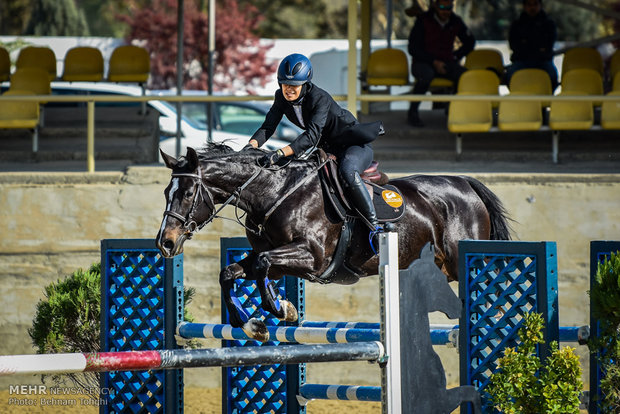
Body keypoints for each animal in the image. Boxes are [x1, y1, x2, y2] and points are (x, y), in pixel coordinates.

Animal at [155, 144, 508, 342]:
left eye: (188, 193)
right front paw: (252, 324)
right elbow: (231, 272)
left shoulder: (312, 257)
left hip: (461, 260)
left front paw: (281, 309)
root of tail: (465, 183)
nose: (166, 244)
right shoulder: (275, 259)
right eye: (166, 192)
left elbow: (263, 266)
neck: (275, 192)